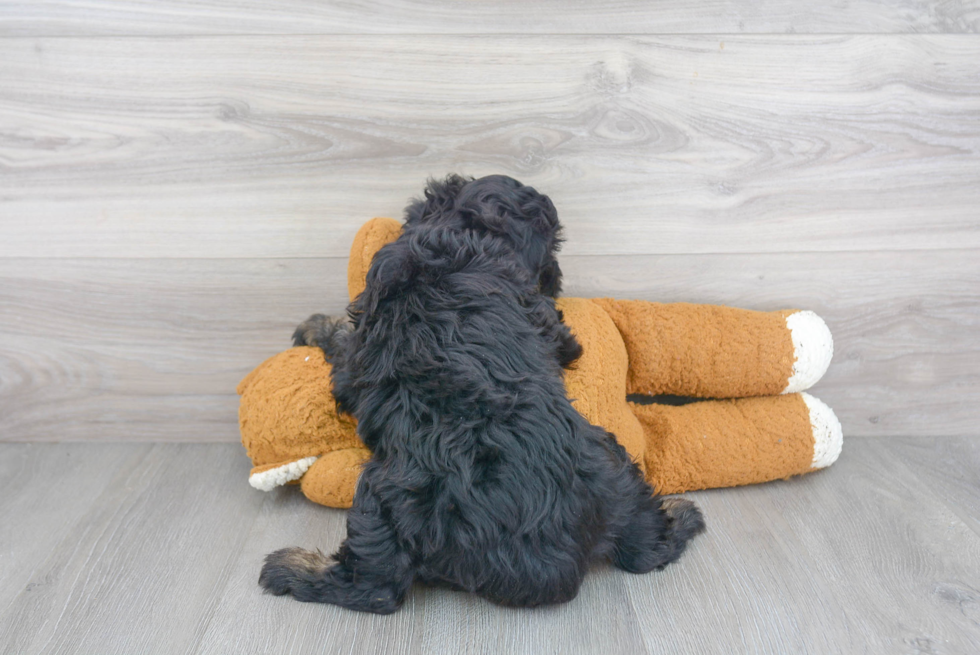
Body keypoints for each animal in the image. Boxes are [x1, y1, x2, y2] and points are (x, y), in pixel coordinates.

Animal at [260, 176, 704, 616]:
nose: (557, 278)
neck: (462, 231)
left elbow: (344, 345)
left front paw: (316, 326)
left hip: (385, 496)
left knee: (375, 588)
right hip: (613, 466)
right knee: (646, 546)